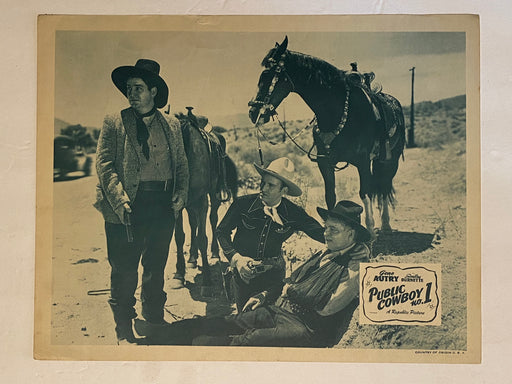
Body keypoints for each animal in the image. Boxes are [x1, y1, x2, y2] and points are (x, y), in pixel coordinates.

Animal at [170, 108, 238, 292]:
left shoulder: (201, 201)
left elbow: (202, 238)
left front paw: (207, 281)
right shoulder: (178, 206)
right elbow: (179, 237)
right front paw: (179, 275)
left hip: (212, 197)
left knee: (213, 219)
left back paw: (214, 253)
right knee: (193, 224)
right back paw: (192, 258)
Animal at [248, 36, 404, 240]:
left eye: (268, 75)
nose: (253, 112)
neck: (337, 113)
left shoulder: (362, 161)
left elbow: (365, 193)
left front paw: (369, 232)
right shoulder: (325, 163)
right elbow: (330, 196)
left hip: (391, 160)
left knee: (384, 187)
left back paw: (385, 225)